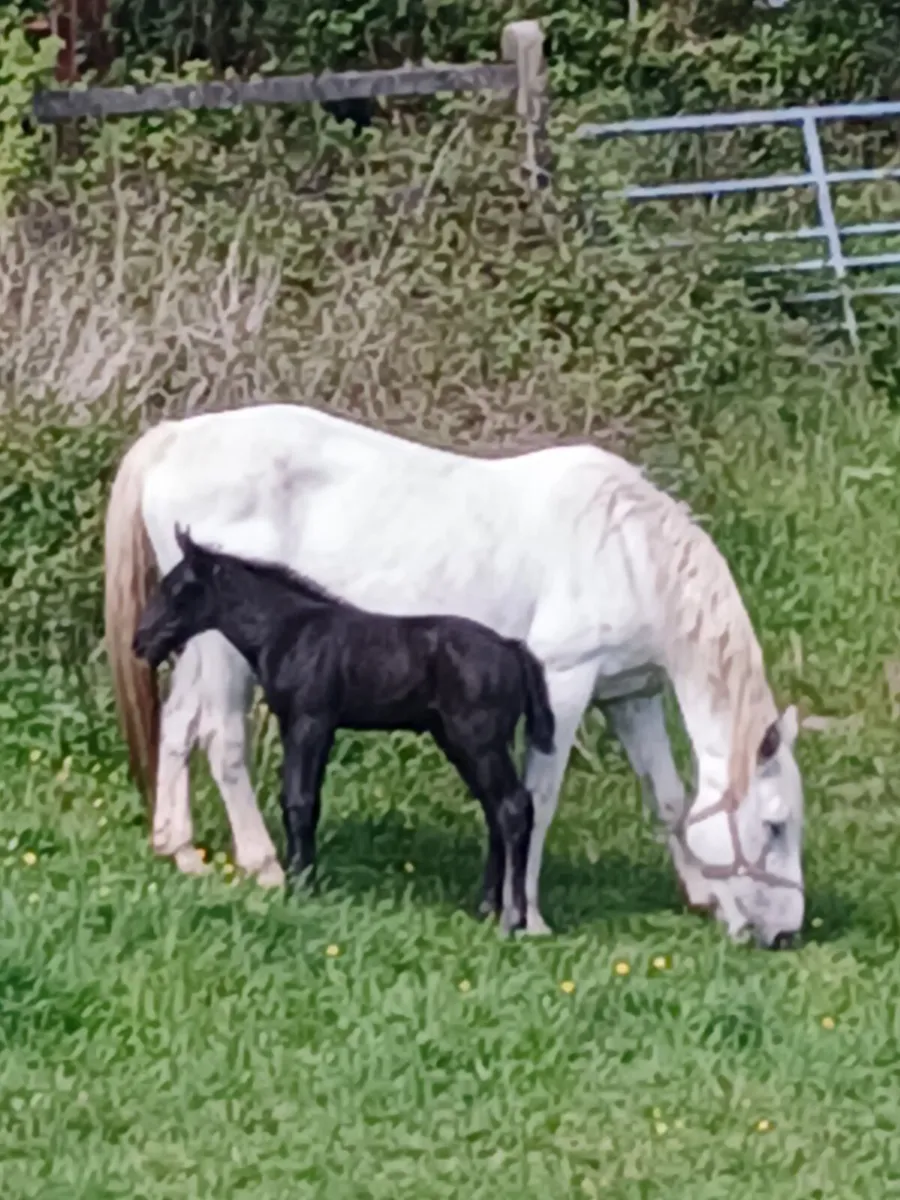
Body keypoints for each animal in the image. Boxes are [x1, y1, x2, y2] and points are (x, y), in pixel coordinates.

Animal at [131, 527, 555, 934]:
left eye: (178, 590)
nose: (140, 642)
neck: (289, 631)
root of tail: (513, 648)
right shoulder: (294, 723)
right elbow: (295, 798)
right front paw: (300, 877)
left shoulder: (313, 722)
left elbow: (302, 801)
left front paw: (301, 885)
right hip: (460, 742)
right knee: (496, 809)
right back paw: (487, 907)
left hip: (479, 742)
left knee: (513, 807)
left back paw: (512, 918)